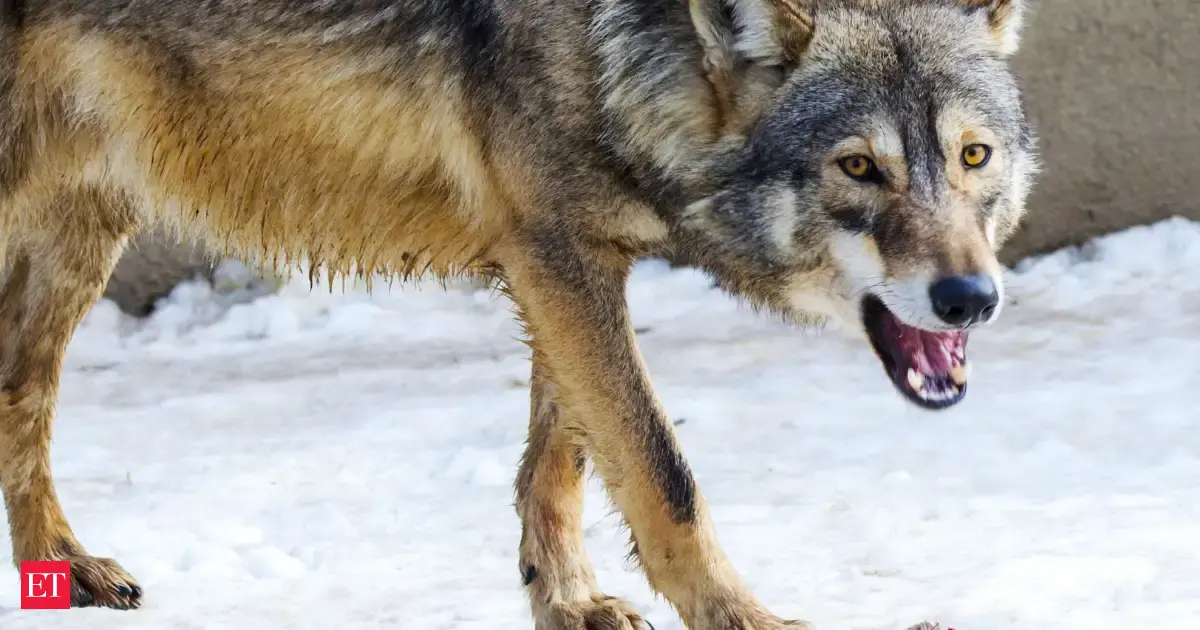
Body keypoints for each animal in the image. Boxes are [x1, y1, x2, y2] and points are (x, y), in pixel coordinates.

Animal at [0, 0, 1036, 627]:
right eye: (859, 167)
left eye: (973, 157)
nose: (971, 300)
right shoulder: (556, 259)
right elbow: (664, 477)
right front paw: (746, 621)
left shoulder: (562, 256)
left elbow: (562, 461)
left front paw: (567, 603)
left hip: (84, 231)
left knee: (20, 393)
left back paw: (61, 564)